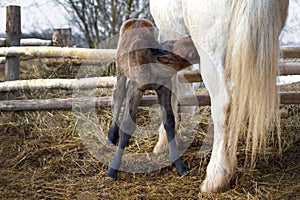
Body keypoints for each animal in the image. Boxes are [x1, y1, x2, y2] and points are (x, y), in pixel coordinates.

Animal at [107, 18, 199, 180]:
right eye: (191, 51)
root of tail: (136, 19)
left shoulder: (164, 88)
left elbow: (169, 121)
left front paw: (179, 165)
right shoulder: (136, 88)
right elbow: (128, 125)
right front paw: (113, 169)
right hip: (120, 69)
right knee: (118, 95)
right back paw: (112, 135)